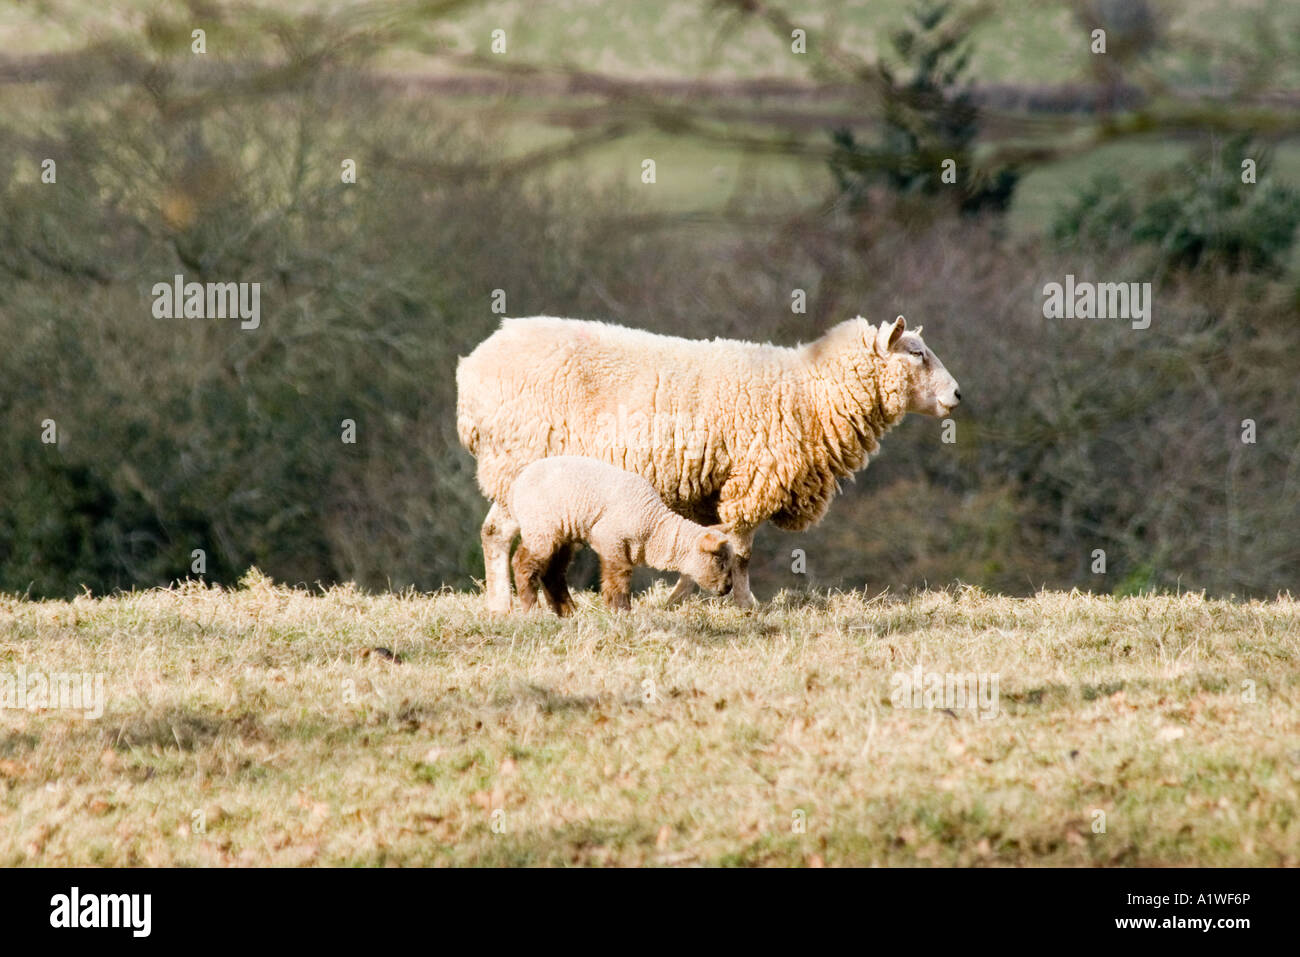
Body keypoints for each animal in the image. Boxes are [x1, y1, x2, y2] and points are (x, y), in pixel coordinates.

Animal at [506, 455, 736, 616]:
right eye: (720, 562)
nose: (728, 588)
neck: (654, 528)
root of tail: (516, 485)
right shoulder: (610, 537)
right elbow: (618, 578)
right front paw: (622, 611)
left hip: (561, 533)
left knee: (553, 573)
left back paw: (568, 612)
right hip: (541, 527)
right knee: (522, 563)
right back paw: (532, 609)